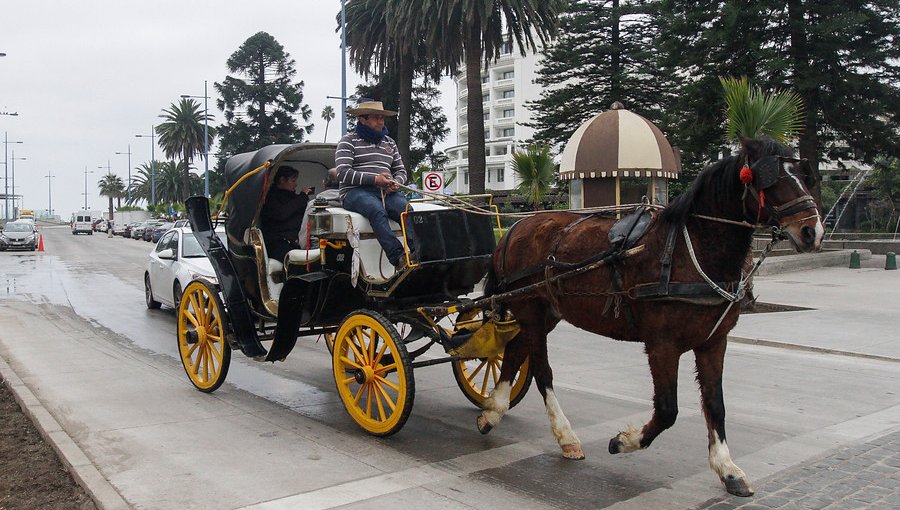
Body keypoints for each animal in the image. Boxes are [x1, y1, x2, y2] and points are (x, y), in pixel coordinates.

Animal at [482, 137, 828, 496]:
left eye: (804, 176)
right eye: (769, 180)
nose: (812, 231)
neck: (690, 250)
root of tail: (516, 227)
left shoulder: (714, 342)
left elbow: (715, 404)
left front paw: (726, 468)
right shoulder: (662, 345)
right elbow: (667, 410)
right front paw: (624, 442)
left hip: (545, 313)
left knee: (514, 352)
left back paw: (494, 411)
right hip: (532, 312)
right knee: (542, 372)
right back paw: (559, 432)